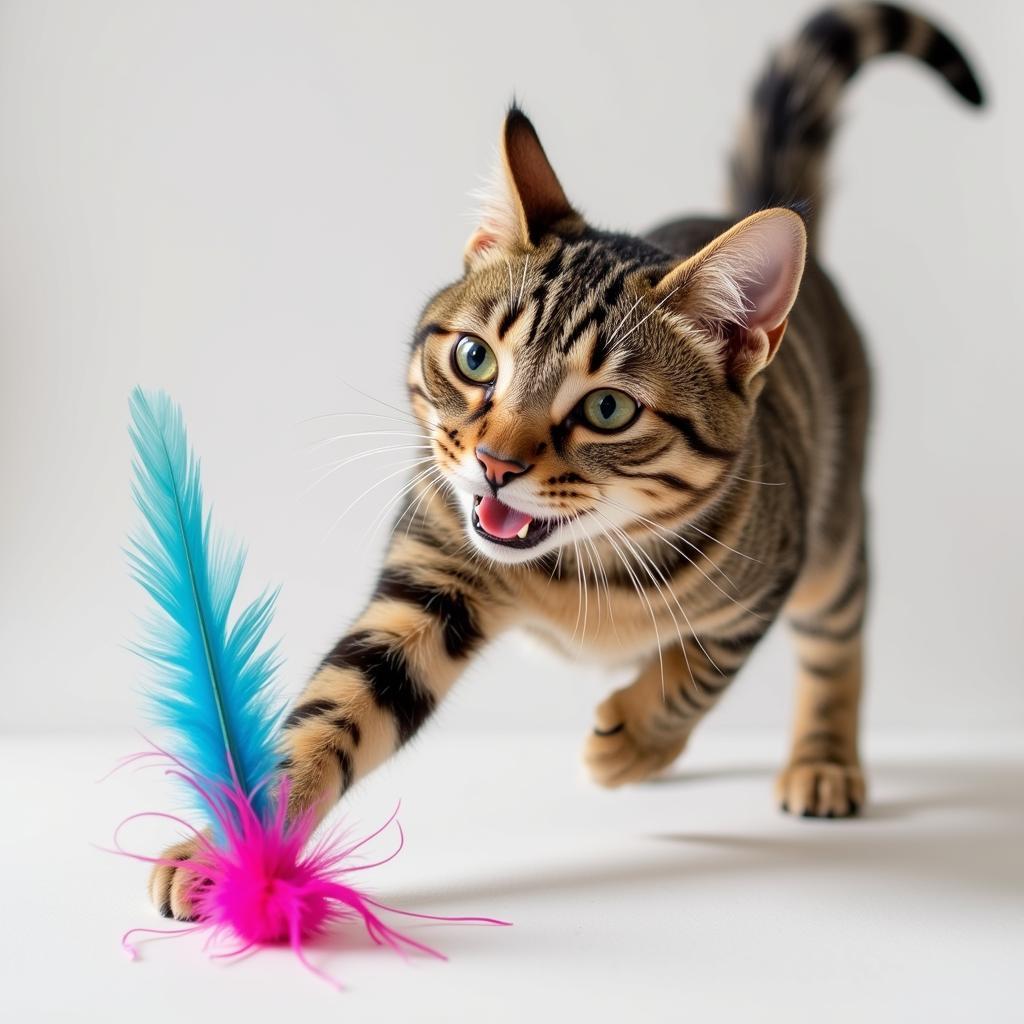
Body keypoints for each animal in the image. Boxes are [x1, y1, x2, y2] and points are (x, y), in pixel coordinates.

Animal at [151, 4, 983, 921]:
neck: (579, 565)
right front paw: (235, 856)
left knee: (839, 639)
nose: (493, 463)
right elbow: (332, 711)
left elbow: (698, 671)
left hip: (831, 537)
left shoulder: (768, 572)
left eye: (607, 409)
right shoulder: (431, 579)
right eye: (475, 359)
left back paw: (820, 760)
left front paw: (633, 742)